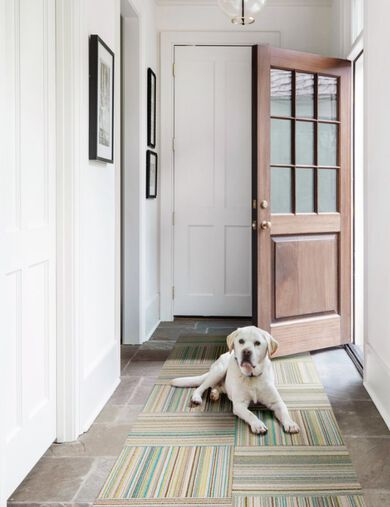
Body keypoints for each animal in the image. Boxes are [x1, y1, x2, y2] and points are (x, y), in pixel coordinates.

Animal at [170, 328, 298, 434]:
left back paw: (214, 394)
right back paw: (197, 397)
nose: (246, 351)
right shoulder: (239, 405)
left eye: (257, 343)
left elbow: (284, 411)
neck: (251, 377)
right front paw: (258, 424)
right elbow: (250, 414)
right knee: (202, 386)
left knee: (218, 387)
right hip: (219, 371)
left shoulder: (276, 402)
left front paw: (290, 423)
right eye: (241, 341)